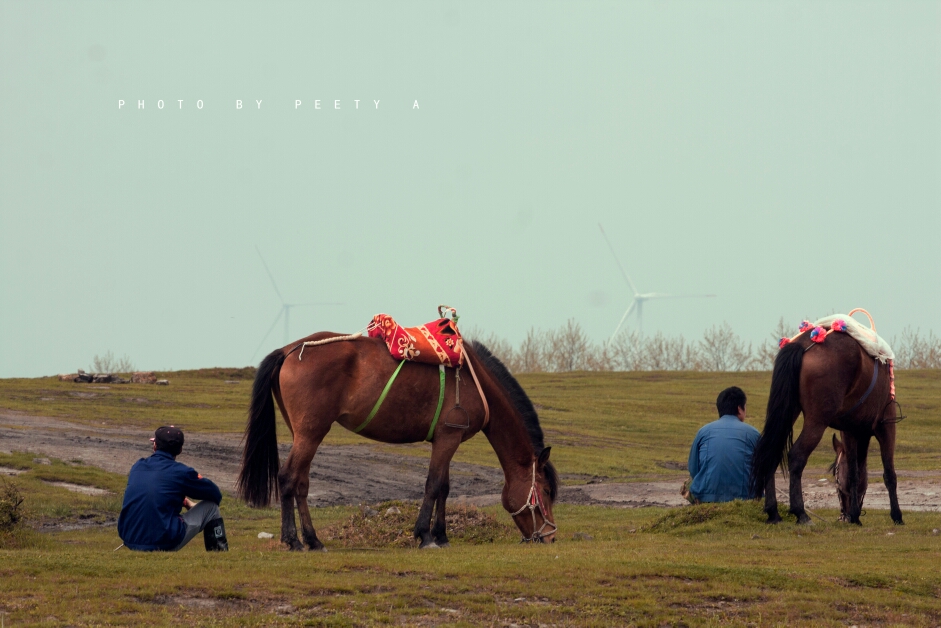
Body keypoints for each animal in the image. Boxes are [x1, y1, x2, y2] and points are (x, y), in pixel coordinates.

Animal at [237, 334, 560, 548]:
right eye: (544, 491)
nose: (550, 536)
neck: (473, 379)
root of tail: (289, 350)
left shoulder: (447, 440)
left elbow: (444, 488)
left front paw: (441, 535)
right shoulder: (448, 438)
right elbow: (433, 485)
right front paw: (426, 535)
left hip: (304, 434)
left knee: (301, 484)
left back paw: (313, 540)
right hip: (310, 433)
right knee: (288, 478)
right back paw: (292, 540)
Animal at [752, 334, 900, 524]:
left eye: (835, 476)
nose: (844, 514)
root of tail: (804, 343)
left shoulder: (850, 431)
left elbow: (854, 473)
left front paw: (855, 516)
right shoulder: (886, 427)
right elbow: (889, 474)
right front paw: (896, 515)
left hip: (788, 412)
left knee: (773, 452)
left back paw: (773, 512)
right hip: (817, 421)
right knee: (797, 455)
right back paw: (801, 513)